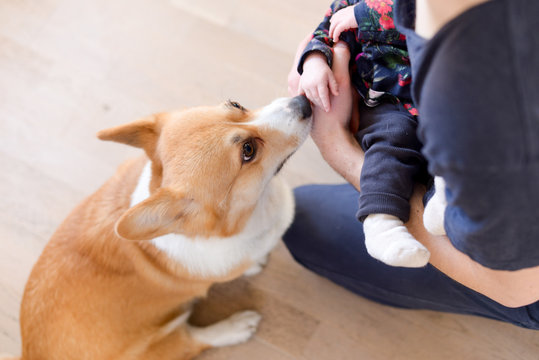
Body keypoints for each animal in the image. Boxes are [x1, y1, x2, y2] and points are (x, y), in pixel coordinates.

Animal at [6, 94, 312, 358]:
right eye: (248, 151)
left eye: (236, 104)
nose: (305, 102)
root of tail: (28, 353)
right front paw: (254, 267)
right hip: (160, 344)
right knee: (193, 341)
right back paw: (236, 327)